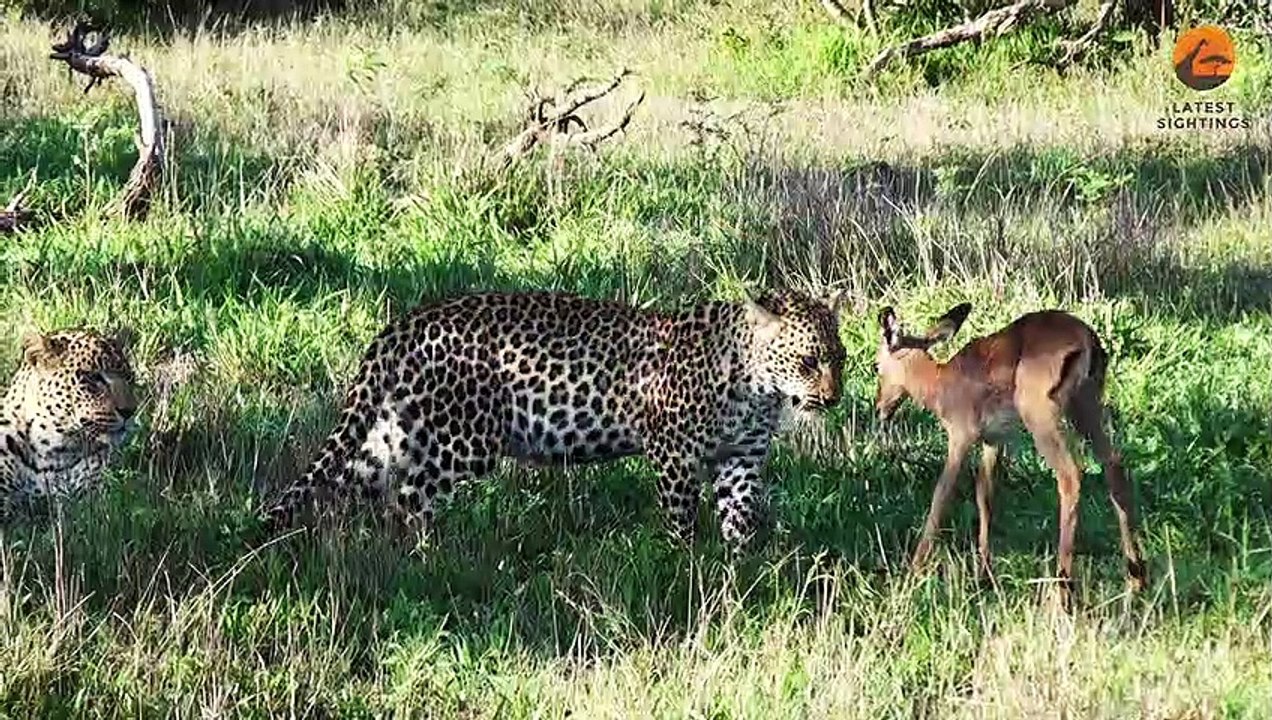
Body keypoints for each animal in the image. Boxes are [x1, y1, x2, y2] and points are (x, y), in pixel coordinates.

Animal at [262, 289, 848, 552]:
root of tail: (407, 321)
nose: (834, 397)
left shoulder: (741, 459)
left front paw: (739, 565)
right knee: (412, 497)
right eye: (807, 361)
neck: (756, 389)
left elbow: (740, 513)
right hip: (461, 441)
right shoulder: (674, 454)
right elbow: (680, 515)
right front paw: (684, 563)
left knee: (349, 483)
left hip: (394, 432)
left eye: (840, 357)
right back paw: (430, 555)